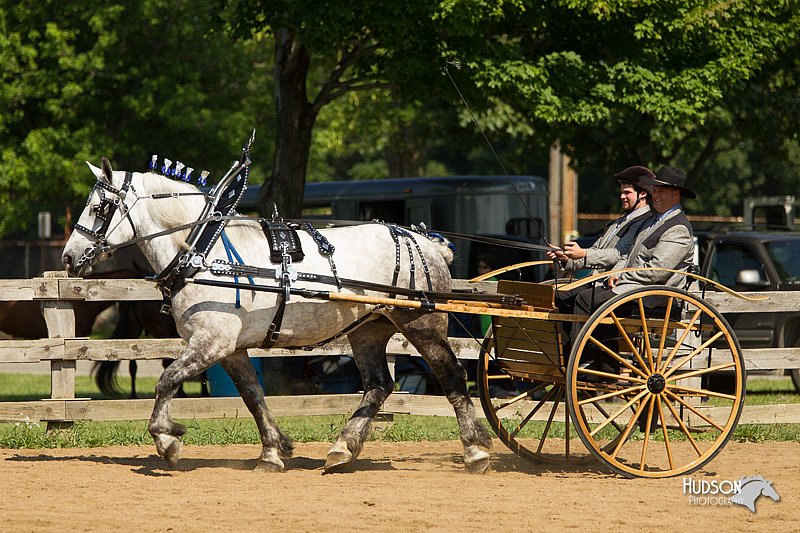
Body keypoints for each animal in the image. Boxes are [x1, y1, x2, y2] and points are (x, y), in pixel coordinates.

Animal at [61, 157, 488, 470]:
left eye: (100, 207)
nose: (68, 257)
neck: (202, 253)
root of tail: (427, 242)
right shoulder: (230, 349)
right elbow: (253, 396)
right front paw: (273, 451)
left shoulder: (211, 343)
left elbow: (166, 380)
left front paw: (167, 440)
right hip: (369, 329)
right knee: (379, 385)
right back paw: (342, 448)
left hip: (423, 324)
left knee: (451, 374)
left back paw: (475, 451)